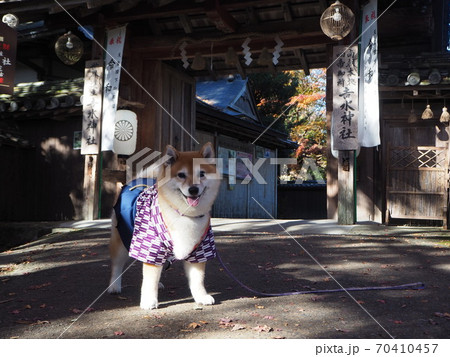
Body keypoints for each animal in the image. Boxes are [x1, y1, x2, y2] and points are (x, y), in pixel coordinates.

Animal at [109, 143, 221, 308]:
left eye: (201, 173)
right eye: (181, 175)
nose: (193, 189)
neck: (184, 215)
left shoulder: (199, 251)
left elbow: (197, 280)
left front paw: (201, 296)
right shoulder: (152, 247)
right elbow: (149, 280)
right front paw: (149, 300)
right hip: (122, 240)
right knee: (117, 265)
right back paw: (114, 286)